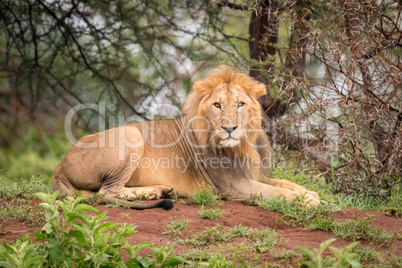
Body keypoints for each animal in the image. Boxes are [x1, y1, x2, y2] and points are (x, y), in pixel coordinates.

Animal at [52, 65, 320, 209]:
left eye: (240, 104)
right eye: (217, 105)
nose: (229, 129)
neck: (244, 145)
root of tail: (59, 169)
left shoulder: (254, 174)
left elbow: (288, 185)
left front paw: (311, 194)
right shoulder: (233, 186)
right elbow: (278, 193)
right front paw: (309, 201)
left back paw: (161, 191)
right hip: (131, 133)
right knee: (105, 193)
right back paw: (153, 193)